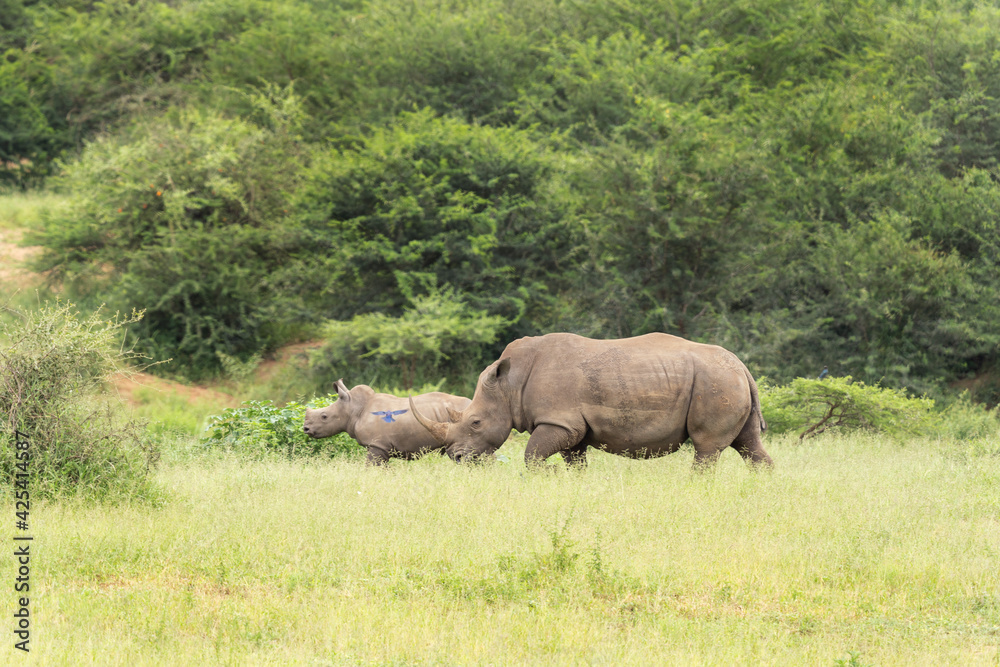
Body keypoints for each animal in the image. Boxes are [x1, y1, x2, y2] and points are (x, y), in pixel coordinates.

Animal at [303, 379, 471, 465]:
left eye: (324, 416)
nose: (305, 429)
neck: (353, 409)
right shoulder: (381, 447)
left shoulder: (377, 445)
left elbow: (371, 467)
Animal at [410, 332, 772, 470]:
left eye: (475, 422)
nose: (456, 457)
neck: (510, 385)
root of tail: (742, 366)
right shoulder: (573, 428)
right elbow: (575, 462)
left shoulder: (560, 420)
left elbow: (531, 455)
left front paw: (548, 475)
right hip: (727, 381)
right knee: (749, 443)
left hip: (715, 382)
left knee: (706, 447)